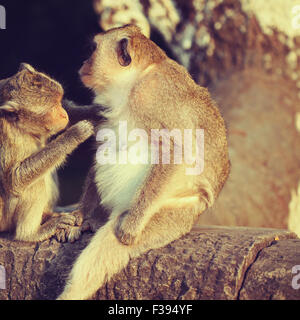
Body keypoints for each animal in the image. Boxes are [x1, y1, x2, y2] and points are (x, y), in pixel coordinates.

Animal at [0, 63, 94, 242]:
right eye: (52, 108)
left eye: (59, 102)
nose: (63, 114)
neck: (20, 126)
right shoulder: (6, 136)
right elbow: (14, 180)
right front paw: (74, 134)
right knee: (34, 184)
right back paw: (30, 234)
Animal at [59, 25, 232, 300]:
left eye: (93, 50)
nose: (83, 63)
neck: (135, 80)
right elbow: (102, 135)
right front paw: (81, 213)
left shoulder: (152, 97)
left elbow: (176, 151)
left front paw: (129, 228)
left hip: (176, 213)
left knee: (108, 246)